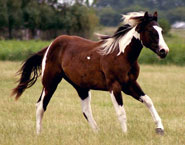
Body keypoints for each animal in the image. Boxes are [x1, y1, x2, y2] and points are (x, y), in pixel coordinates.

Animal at [11, 11, 169, 135]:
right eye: (151, 32)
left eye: (161, 31)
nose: (164, 51)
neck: (121, 55)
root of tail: (50, 46)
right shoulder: (115, 86)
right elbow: (121, 112)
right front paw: (125, 134)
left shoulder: (130, 84)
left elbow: (148, 101)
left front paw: (160, 129)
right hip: (50, 83)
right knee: (40, 106)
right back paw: (39, 134)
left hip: (81, 87)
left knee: (86, 110)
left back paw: (97, 133)